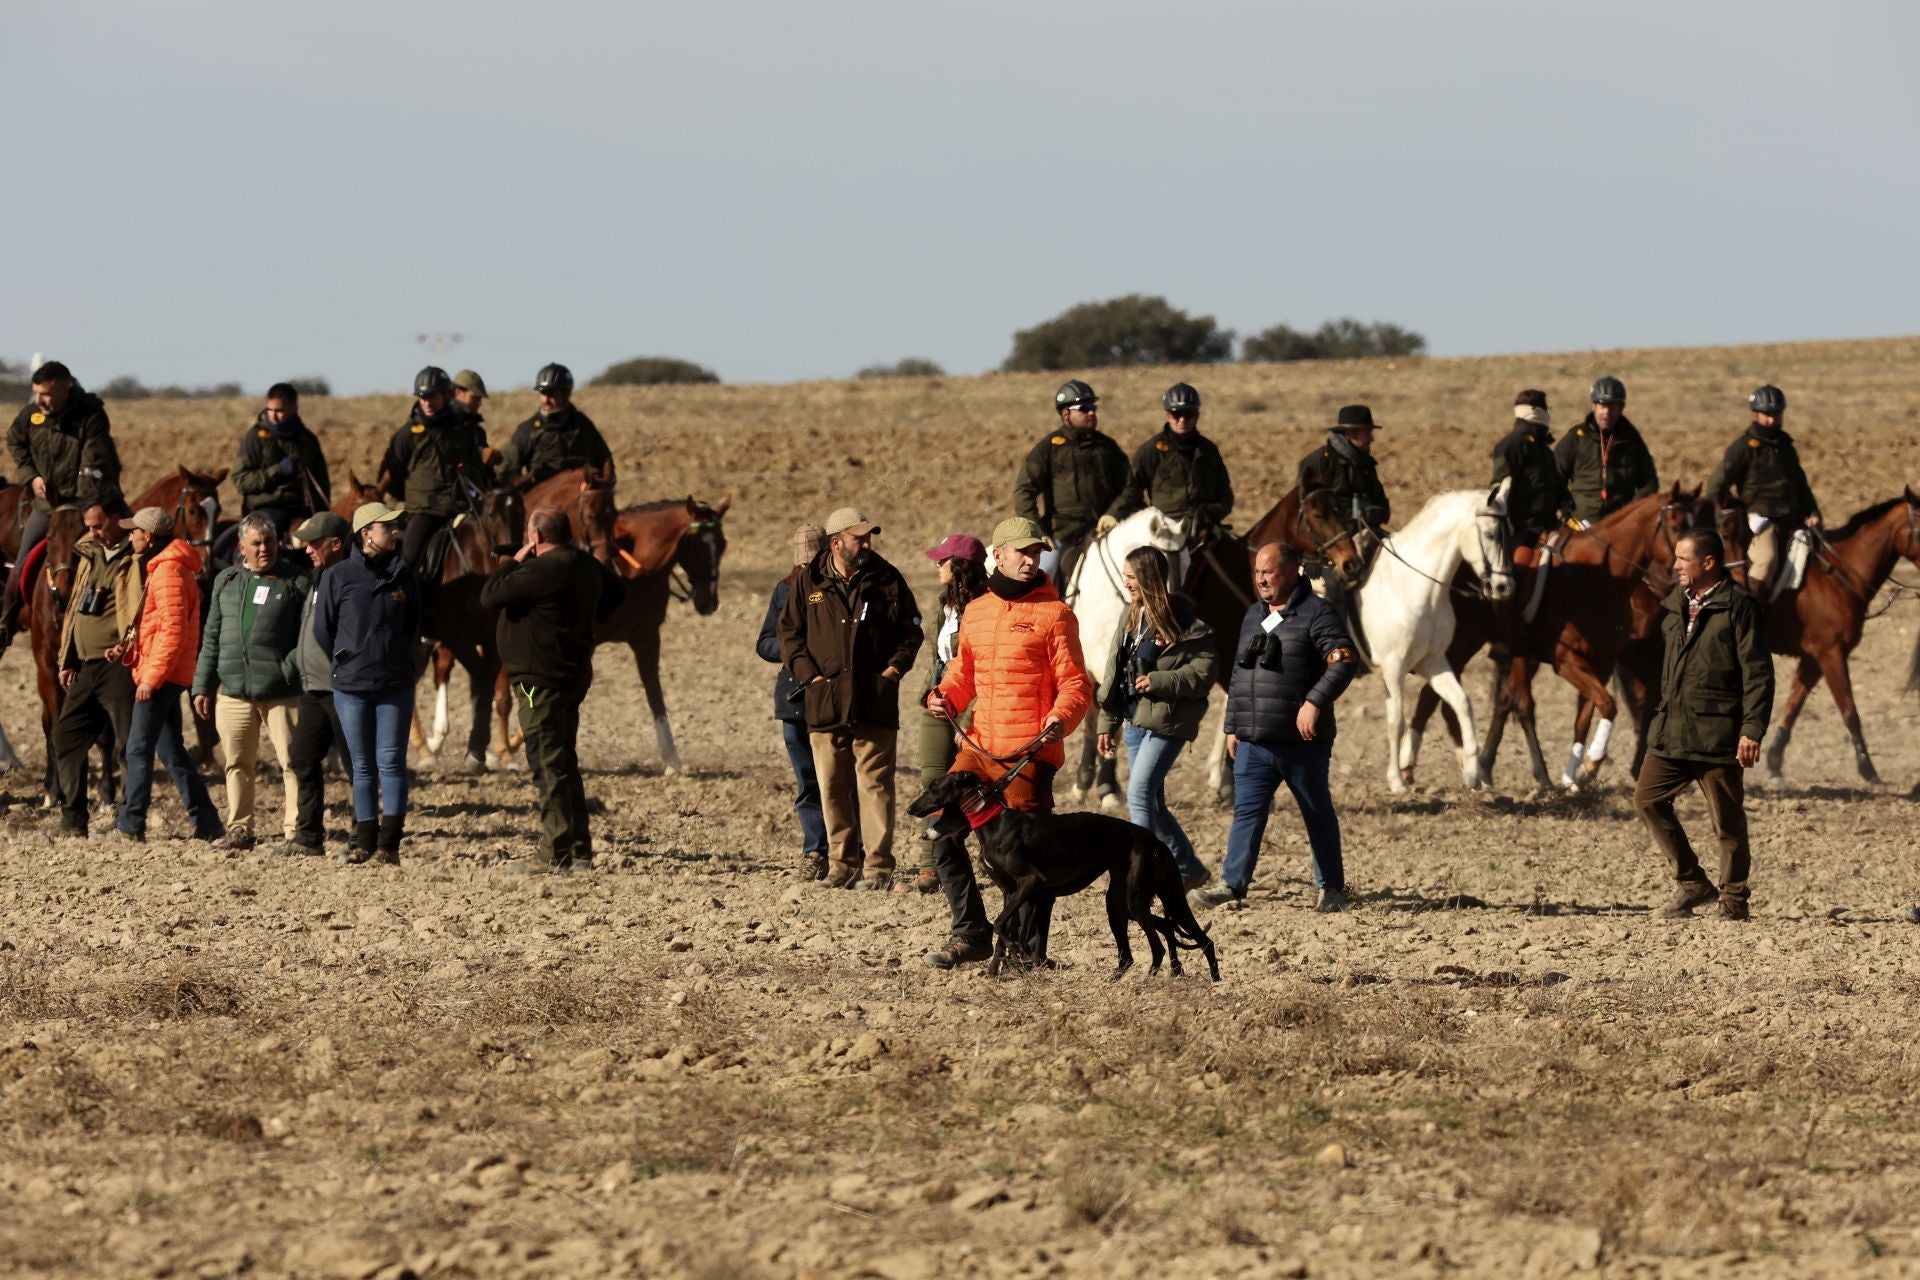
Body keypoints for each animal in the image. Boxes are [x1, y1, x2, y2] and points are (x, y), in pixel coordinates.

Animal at [906, 771, 1221, 982]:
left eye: (934, 788)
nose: (910, 810)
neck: (994, 822)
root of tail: (1156, 842)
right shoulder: (1011, 892)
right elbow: (1003, 927)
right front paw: (995, 970)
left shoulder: (1031, 882)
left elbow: (1000, 923)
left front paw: (1018, 952)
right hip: (1124, 903)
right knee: (1171, 936)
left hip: (1136, 900)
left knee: (1160, 945)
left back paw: (1154, 981)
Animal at [1367, 479, 1512, 790]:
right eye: (1491, 534)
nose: (1504, 587)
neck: (1412, 583)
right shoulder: (1393, 668)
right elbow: (1396, 720)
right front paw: (1396, 780)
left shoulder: (1432, 662)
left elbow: (1462, 704)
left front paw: (1473, 772)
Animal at [1405, 485, 1704, 790]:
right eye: (1676, 526)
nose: (1684, 573)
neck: (1598, 579)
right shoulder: (1568, 662)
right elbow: (1608, 705)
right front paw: (1590, 765)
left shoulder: (1601, 663)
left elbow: (1585, 717)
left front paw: (1573, 776)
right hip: (1460, 645)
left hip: (1470, 645)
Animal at [1751, 491, 1920, 786]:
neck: (1839, 577)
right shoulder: (1831, 654)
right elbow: (1850, 711)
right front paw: (1867, 768)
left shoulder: (1813, 659)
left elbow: (1794, 704)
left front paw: (1774, 762)